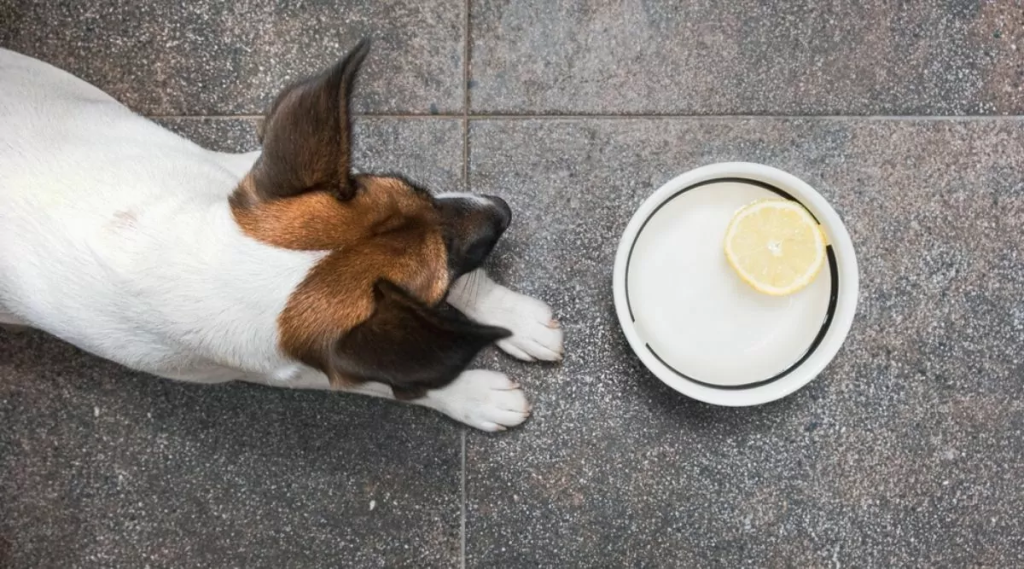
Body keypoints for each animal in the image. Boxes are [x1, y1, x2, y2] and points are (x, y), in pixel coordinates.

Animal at [0, 41, 561, 431]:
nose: (503, 210)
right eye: (444, 272)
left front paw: (512, 318)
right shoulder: (305, 365)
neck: (209, 261)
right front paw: (474, 396)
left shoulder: (244, 174)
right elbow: (391, 381)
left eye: (416, 187)